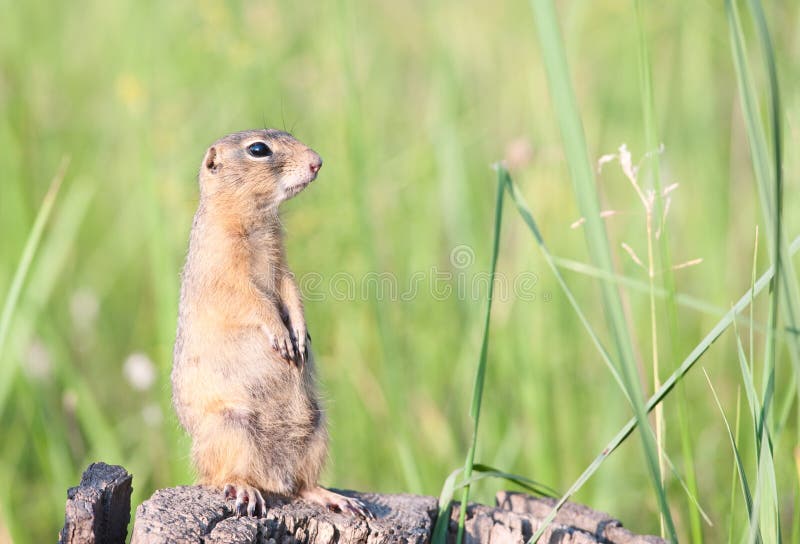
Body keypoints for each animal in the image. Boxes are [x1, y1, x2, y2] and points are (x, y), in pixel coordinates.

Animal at [172, 129, 372, 520]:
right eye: (258, 149)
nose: (317, 162)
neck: (257, 219)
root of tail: (273, 478)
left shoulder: (282, 264)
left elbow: (290, 290)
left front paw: (300, 334)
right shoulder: (224, 273)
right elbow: (250, 301)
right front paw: (280, 334)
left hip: (317, 427)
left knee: (300, 486)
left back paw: (332, 497)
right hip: (231, 428)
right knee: (224, 475)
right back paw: (245, 490)